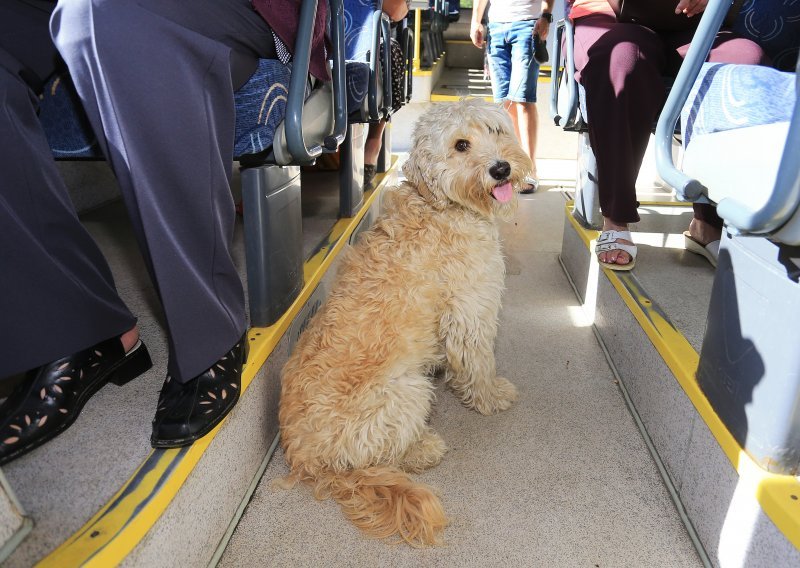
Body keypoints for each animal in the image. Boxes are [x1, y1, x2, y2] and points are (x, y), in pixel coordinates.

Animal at [278, 100, 536, 548]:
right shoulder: (470, 312)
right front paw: (490, 397)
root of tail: (305, 459)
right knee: (386, 455)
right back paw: (422, 449)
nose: (501, 168)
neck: (440, 205)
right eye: (461, 144)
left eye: (495, 130)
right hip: (408, 390)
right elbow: (479, 364)